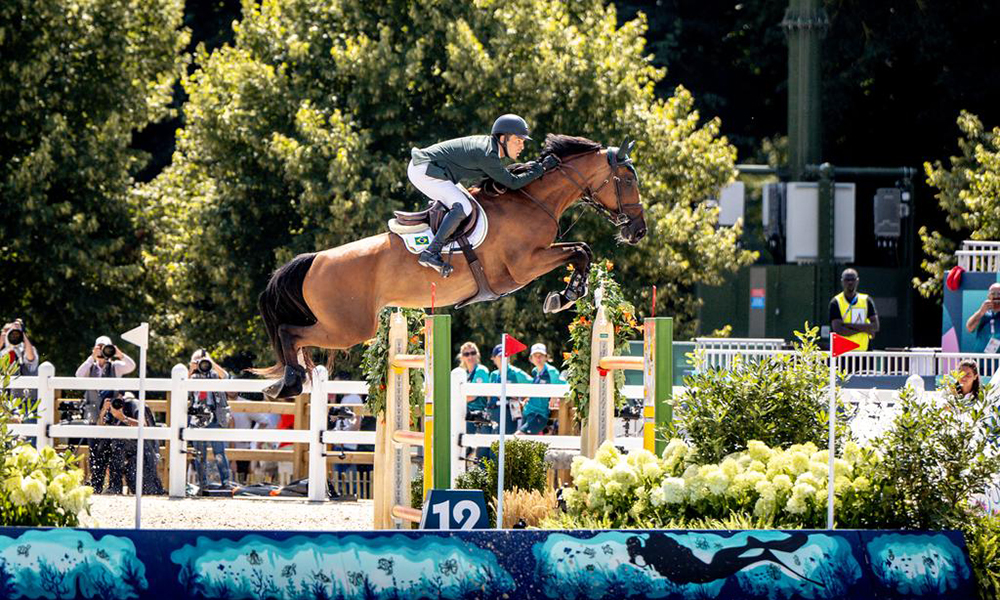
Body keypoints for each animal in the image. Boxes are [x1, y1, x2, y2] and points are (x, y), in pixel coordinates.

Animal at [258, 136, 648, 398]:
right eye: (629, 180)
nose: (638, 231)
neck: (530, 201)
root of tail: (315, 261)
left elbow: (582, 251)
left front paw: (568, 293)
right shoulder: (525, 265)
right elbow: (580, 251)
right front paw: (565, 296)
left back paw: (284, 383)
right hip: (348, 327)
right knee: (291, 333)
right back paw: (288, 384)